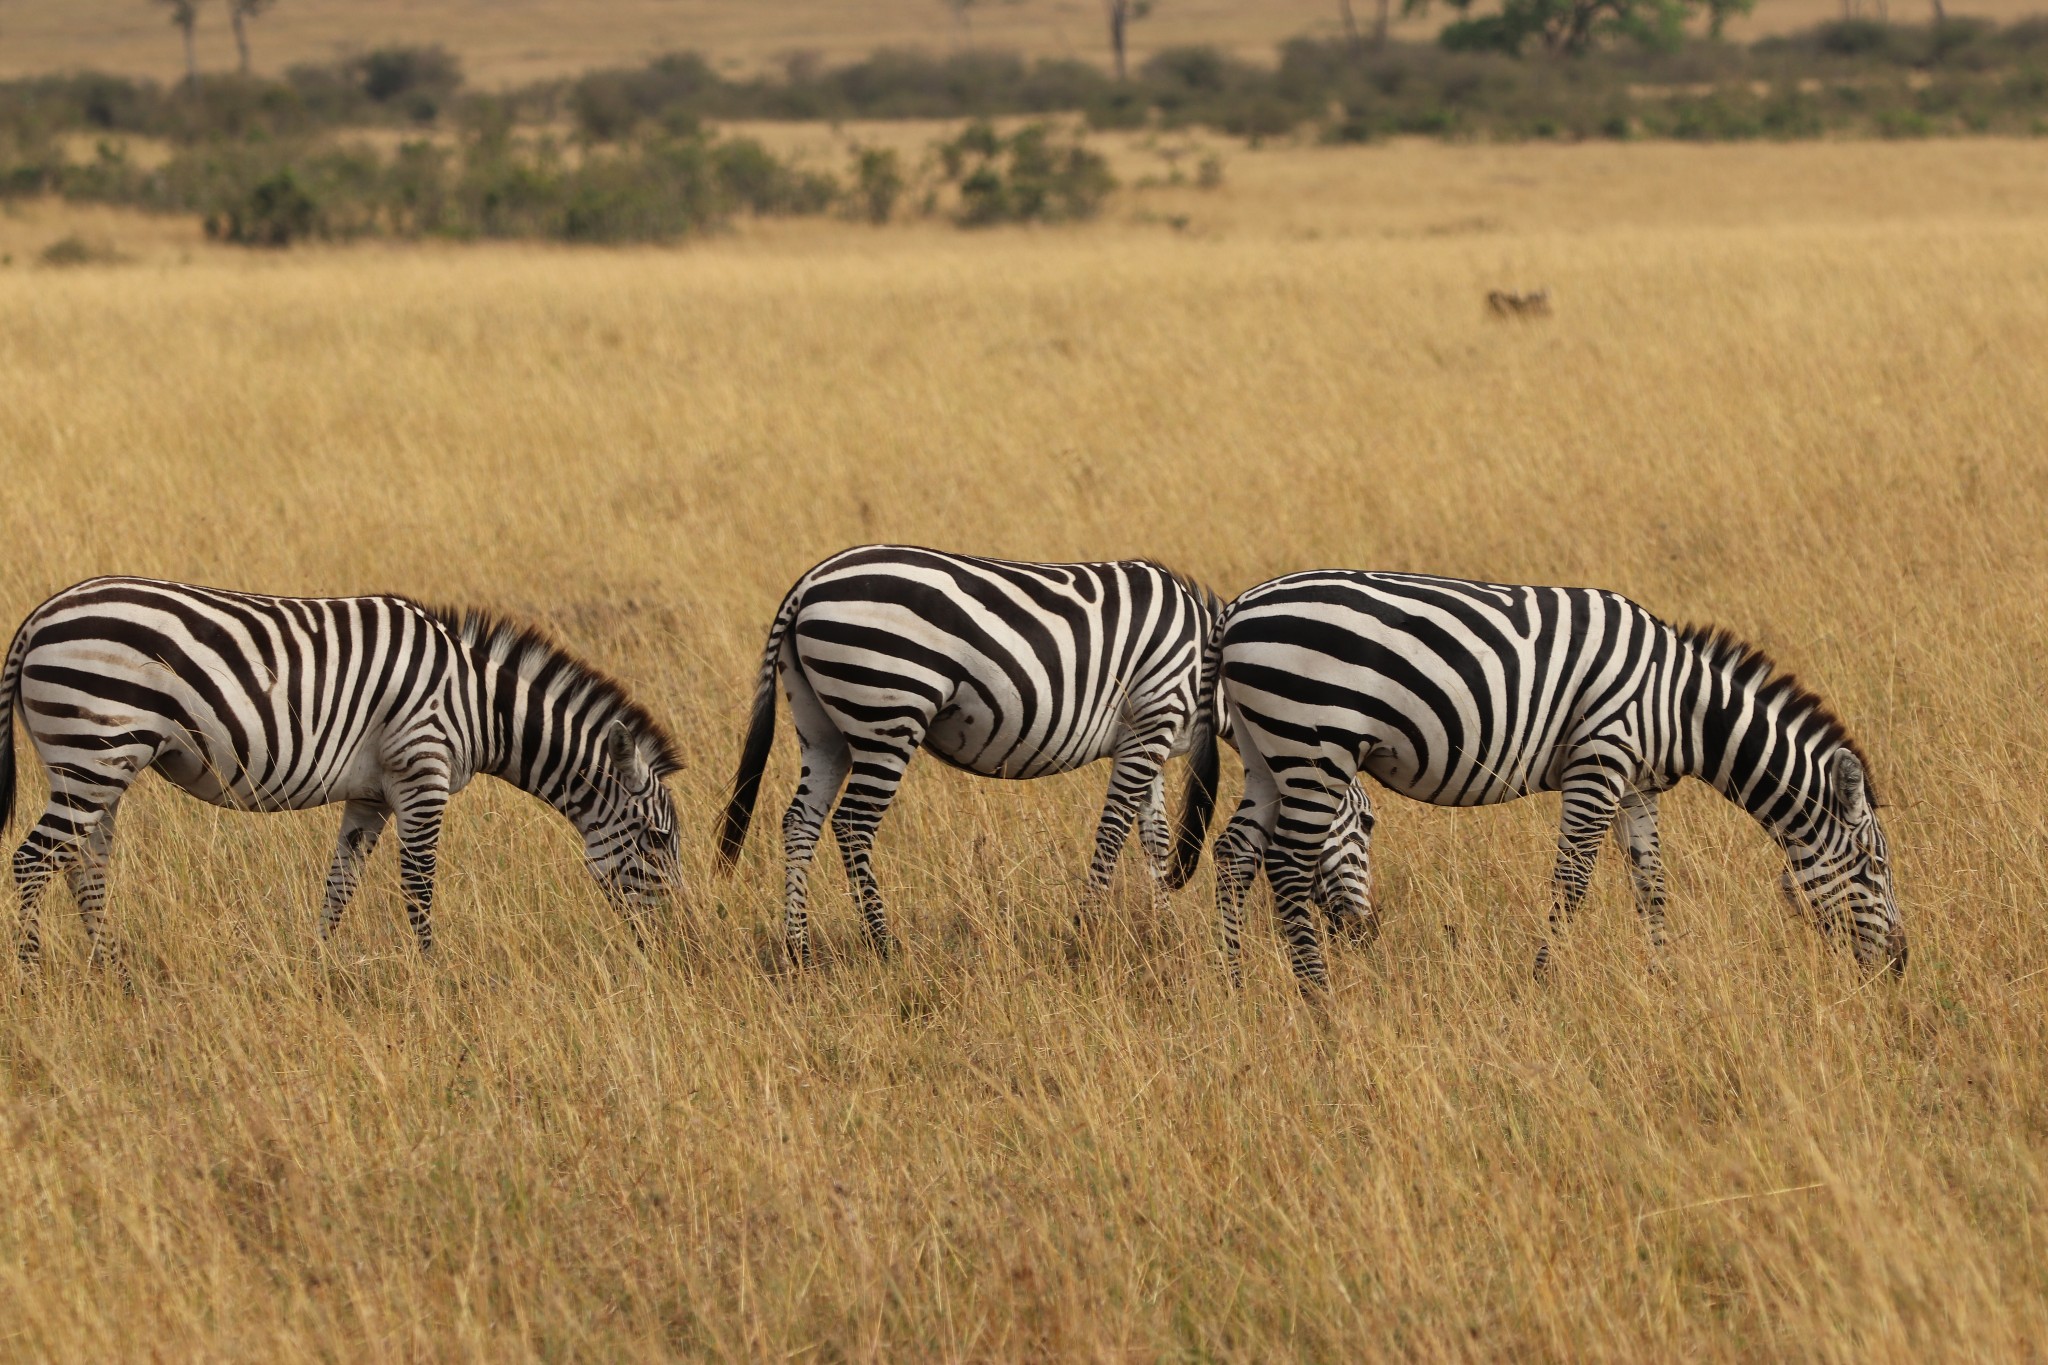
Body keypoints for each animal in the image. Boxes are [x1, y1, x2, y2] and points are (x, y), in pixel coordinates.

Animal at [0, 577, 688, 970]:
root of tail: (38, 617)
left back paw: (109, 974)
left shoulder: (371, 797)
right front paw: (435, 978)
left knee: (84, 864)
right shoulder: (422, 773)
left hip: (100, 762)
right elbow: (418, 886)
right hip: (95, 749)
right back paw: (33, 978)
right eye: (657, 841)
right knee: (33, 862)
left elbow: (340, 886)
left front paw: (317, 969)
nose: (683, 948)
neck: (478, 706)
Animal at [716, 544, 1376, 970]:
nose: (1364, 934)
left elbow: (1154, 836)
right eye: (1366, 825)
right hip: (888, 707)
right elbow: (1113, 830)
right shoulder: (1155, 716)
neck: (1209, 666)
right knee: (853, 824)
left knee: (800, 821)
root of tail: (808, 583)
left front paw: (1162, 929)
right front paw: (1085, 934)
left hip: (821, 722)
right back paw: (884, 947)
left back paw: (799, 951)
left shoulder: (1151, 735)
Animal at [1196, 573, 1908, 986]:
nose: (1902, 965)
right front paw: (1542, 985)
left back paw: (1236, 982)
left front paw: (1666, 981)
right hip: (1316, 743)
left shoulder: (1635, 784)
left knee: (1234, 854)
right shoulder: (1600, 758)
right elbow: (1572, 882)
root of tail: (1236, 611)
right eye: (1875, 867)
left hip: (1269, 751)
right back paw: (1318, 1000)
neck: (1683, 705)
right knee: (1286, 865)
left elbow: (1651, 887)